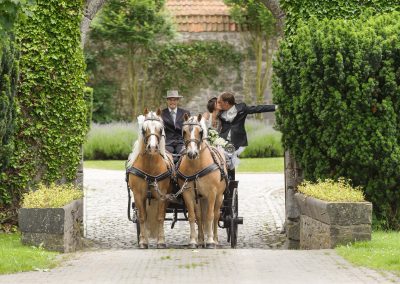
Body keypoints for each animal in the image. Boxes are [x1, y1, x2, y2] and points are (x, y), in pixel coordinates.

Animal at [126, 108, 173, 248]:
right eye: (143, 129)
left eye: (160, 129)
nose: (152, 147)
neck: (150, 166)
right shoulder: (138, 195)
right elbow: (142, 217)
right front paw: (143, 241)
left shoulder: (162, 195)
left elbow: (160, 217)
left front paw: (161, 241)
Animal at [176, 113, 228, 248]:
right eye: (184, 131)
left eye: (200, 132)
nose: (192, 153)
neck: (196, 166)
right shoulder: (188, 194)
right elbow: (193, 216)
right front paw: (193, 241)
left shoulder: (212, 193)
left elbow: (210, 215)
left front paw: (210, 240)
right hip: (200, 198)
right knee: (200, 216)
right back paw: (200, 240)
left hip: (219, 196)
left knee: (216, 215)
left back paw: (215, 239)